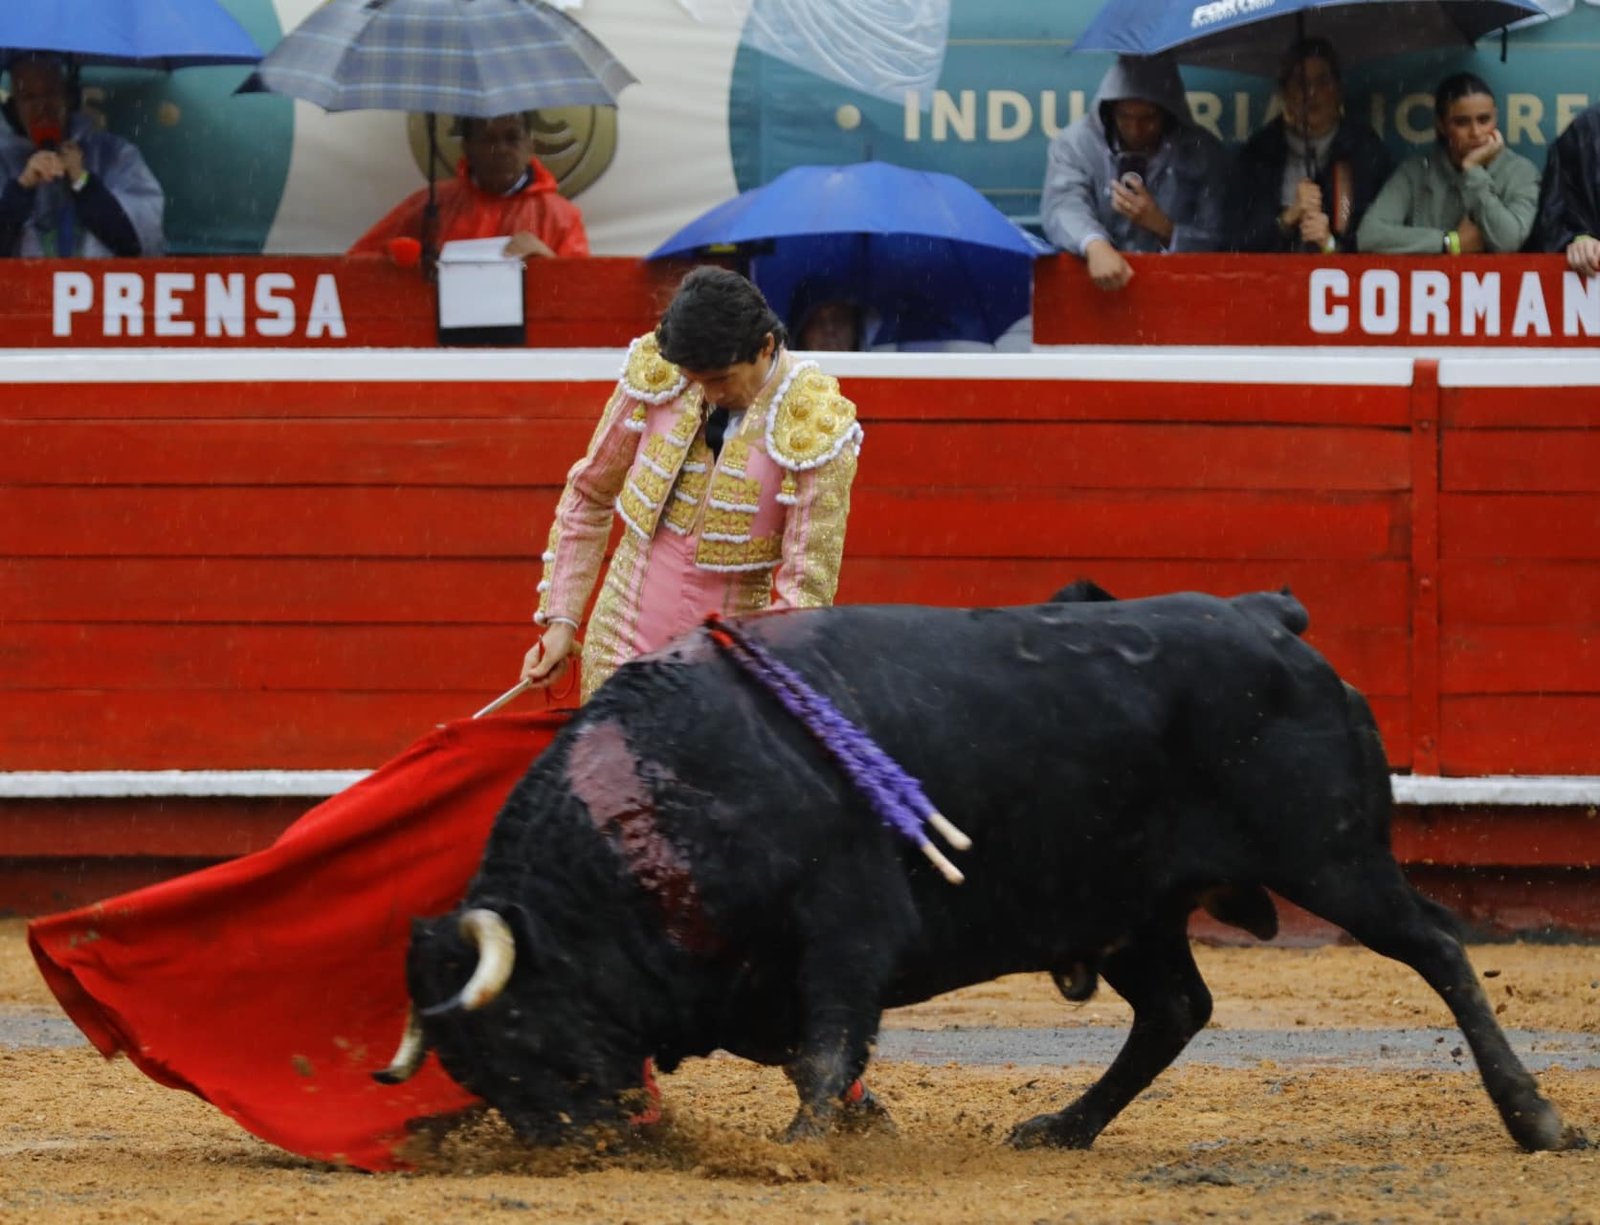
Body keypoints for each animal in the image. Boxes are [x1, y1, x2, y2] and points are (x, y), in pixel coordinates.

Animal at [376, 587, 1584, 1154]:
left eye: (522, 1029)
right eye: (470, 1066)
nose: (574, 1149)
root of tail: (1265, 617)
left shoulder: (847, 922)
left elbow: (826, 1045)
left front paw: (802, 1151)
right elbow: (812, 1049)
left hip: (1332, 858)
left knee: (1437, 946)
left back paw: (1535, 1119)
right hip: (1128, 900)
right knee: (1175, 1007)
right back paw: (1065, 1125)